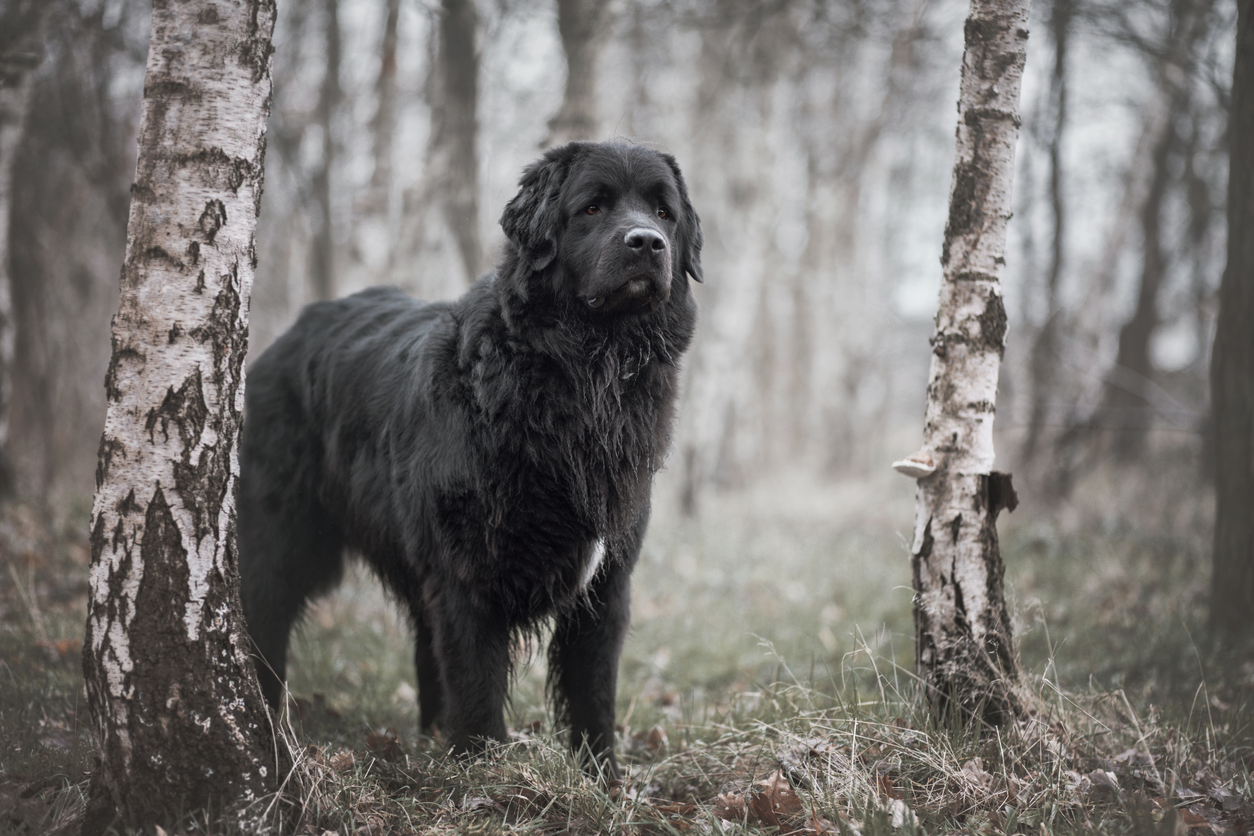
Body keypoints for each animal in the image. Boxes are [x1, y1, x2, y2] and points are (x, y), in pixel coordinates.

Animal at [239, 140, 702, 777]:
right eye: (592, 208)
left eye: (664, 213)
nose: (646, 243)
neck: (584, 377)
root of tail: (286, 337)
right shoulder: (466, 572)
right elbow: (478, 684)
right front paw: (485, 777)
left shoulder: (606, 581)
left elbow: (594, 692)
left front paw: (601, 777)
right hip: (282, 541)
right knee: (265, 623)